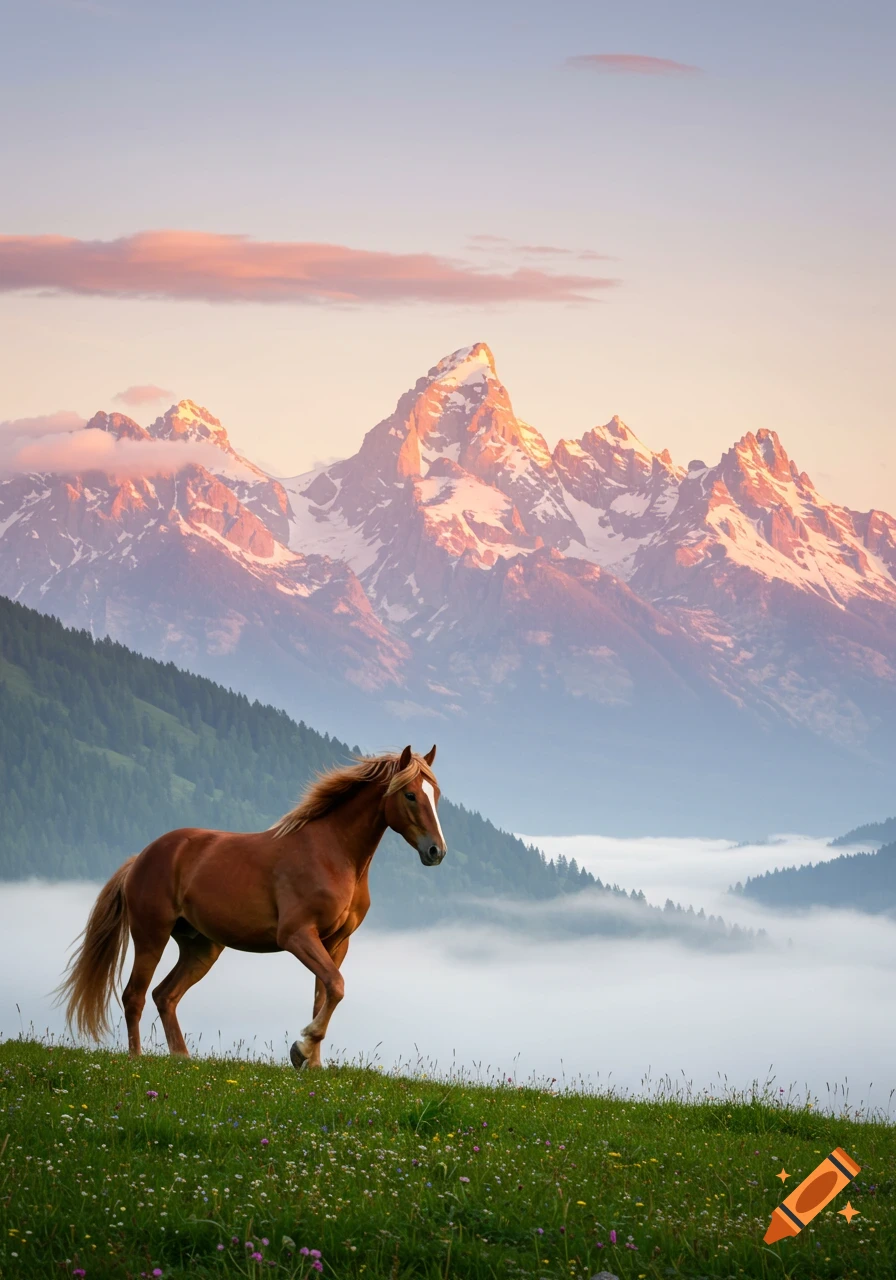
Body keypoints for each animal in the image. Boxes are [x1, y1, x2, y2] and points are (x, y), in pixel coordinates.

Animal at [56, 744, 446, 1070]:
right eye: (411, 794)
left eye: (436, 795)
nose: (436, 851)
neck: (332, 853)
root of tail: (141, 857)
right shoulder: (296, 935)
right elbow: (335, 986)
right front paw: (301, 1049)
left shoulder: (336, 943)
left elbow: (325, 994)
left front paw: (312, 1062)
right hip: (151, 935)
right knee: (134, 996)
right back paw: (137, 1060)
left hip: (201, 948)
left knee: (164, 995)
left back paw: (182, 1058)